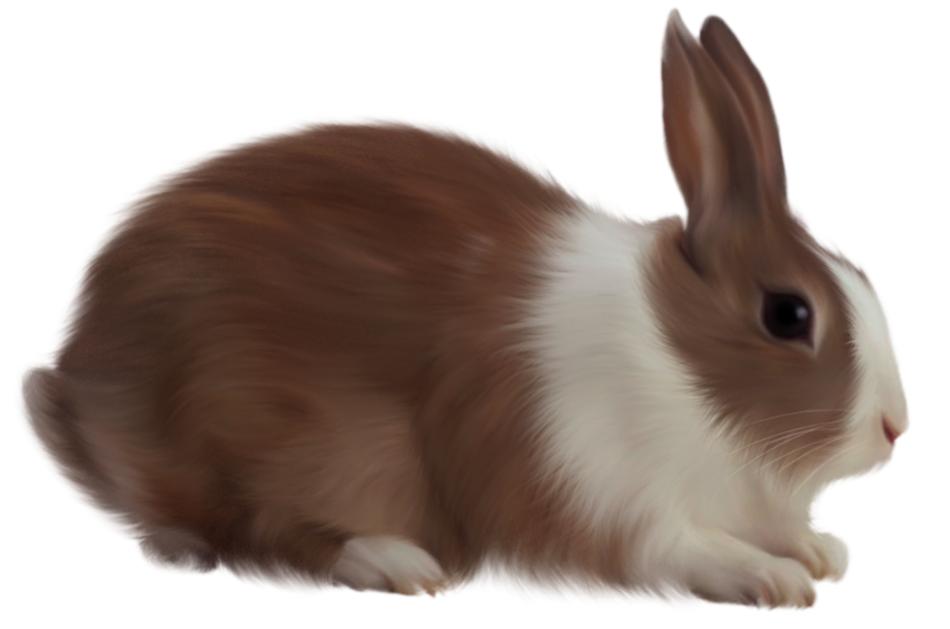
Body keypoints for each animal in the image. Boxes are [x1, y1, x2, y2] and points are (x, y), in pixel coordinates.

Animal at [22, 11, 906, 607]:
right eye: (788, 315)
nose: (895, 427)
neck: (678, 359)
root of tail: (80, 385)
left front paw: (821, 549)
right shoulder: (600, 495)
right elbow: (681, 547)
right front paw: (774, 576)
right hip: (289, 431)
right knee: (261, 529)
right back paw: (391, 561)